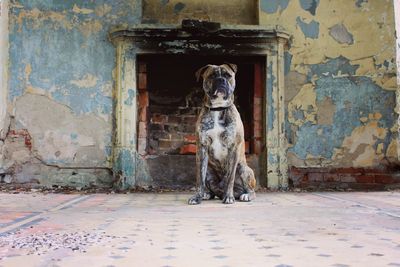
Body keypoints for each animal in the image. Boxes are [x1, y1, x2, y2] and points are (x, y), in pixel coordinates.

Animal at [188, 63, 256, 205]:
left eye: (227, 75)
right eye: (212, 75)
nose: (220, 80)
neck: (217, 109)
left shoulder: (233, 147)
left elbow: (230, 178)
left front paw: (229, 197)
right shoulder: (202, 147)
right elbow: (199, 179)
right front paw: (197, 196)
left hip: (243, 168)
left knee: (251, 190)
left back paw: (245, 195)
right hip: (209, 170)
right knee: (210, 185)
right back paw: (207, 194)